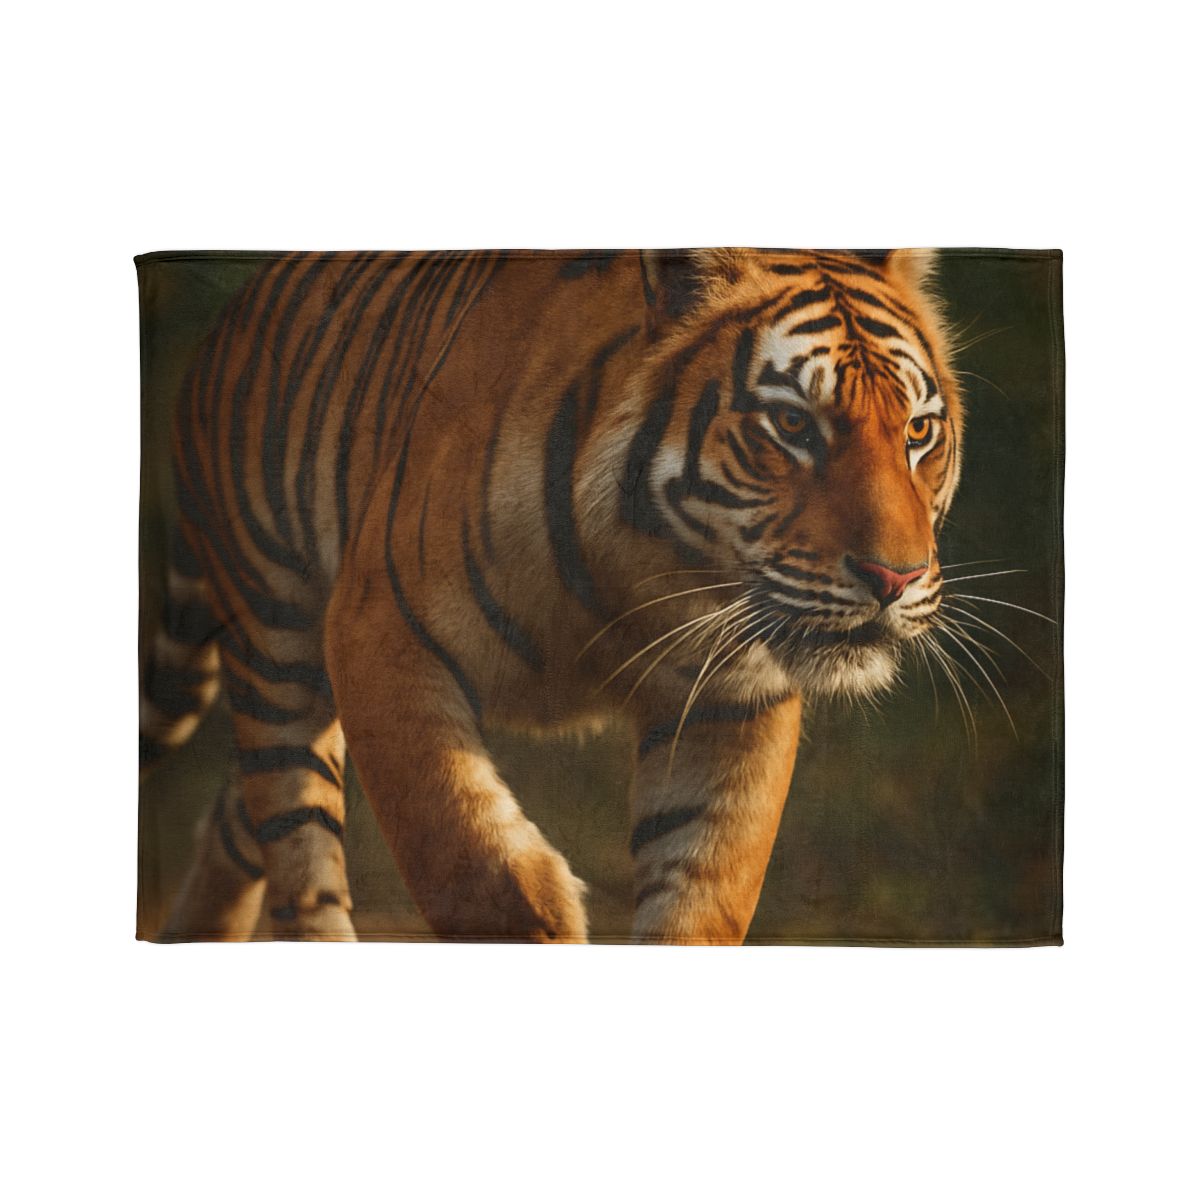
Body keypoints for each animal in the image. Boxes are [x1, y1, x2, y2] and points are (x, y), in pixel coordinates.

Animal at [138, 247, 962, 944]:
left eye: (919, 432)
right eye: (791, 423)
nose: (895, 578)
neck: (647, 573)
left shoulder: (736, 698)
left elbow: (702, 895)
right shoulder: (380, 637)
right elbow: (474, 866)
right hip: (277, 638)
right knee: (295, 840)